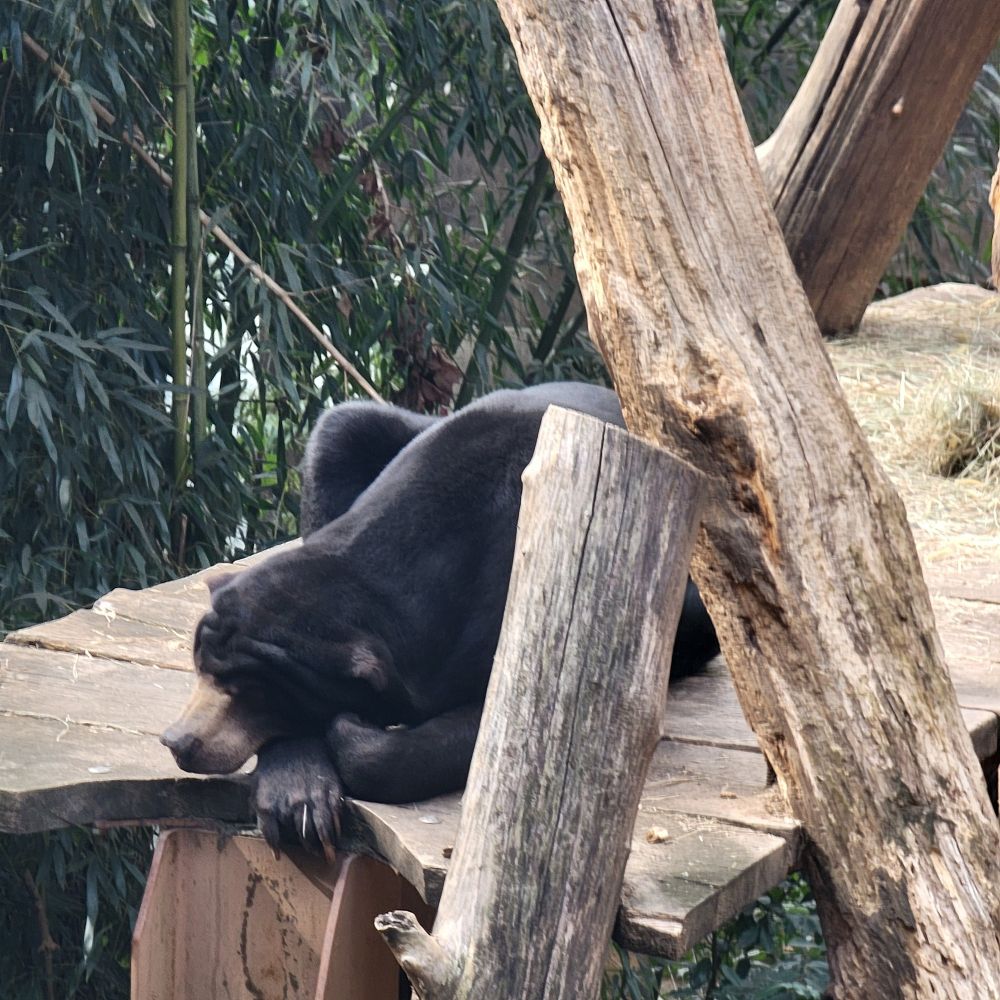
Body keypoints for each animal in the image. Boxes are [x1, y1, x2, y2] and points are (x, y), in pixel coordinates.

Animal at [162, 383, 718, 855]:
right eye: (200, 667)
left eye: (251, 691)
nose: (178, 741)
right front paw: (299, 791)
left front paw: (351, 728)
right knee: (342, 425)